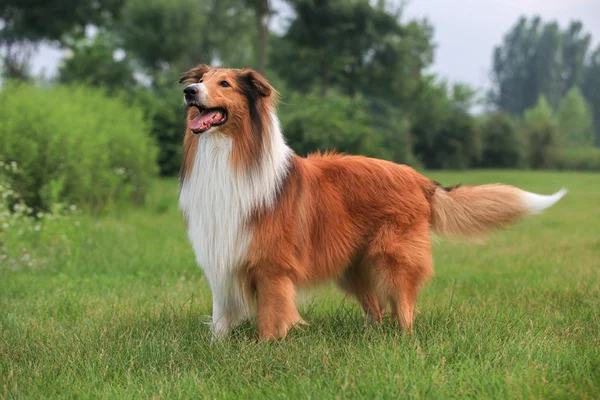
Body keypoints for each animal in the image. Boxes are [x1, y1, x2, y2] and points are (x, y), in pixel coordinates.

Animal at [176, 65, 564, 340]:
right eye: (202, 79)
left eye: (225, 83)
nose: (188, 91)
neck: (229, 154)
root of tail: (419, 178)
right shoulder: (222, 252)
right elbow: (221, 314)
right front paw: (217, 346)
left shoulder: (272, 265)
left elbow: (271, 315)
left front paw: (266, 347)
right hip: (355, 266)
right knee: (376, 310)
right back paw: (370, 338)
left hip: (392, 258)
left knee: (403, 308)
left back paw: (402, 341)